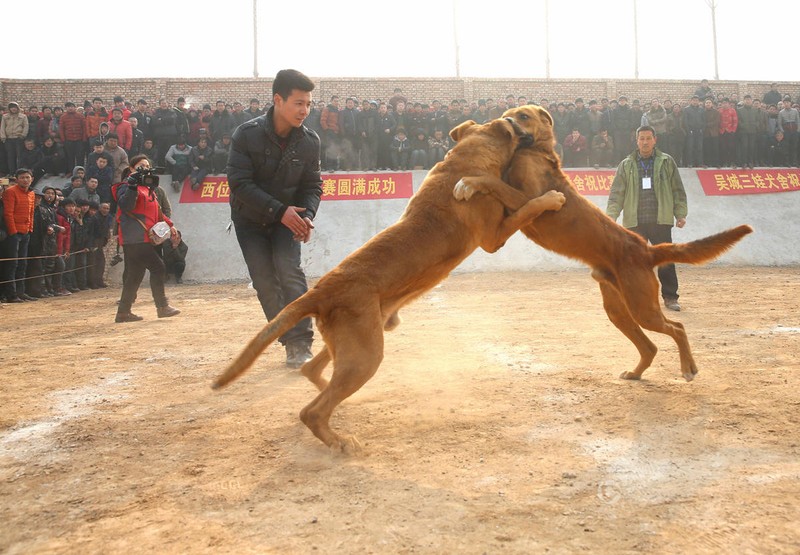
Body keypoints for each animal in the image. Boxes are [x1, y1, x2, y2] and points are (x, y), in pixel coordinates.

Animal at [211, 112, 564, 452]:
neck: (465, 158)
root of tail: (322, 289)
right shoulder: (493, 238)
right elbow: (529, 206)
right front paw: (552, 198)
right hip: (365, 356)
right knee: (311, 411)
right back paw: (339, 441)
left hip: (358, 340)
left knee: (313, 374)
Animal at [454, 104, 752, 382]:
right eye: (508, 113)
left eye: (523, 116)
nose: (506, 121)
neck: (534, 151)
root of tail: (646, 249)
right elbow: (497, 181)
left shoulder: (528, 200)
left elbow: (493, 181)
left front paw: (469, 181)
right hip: (618, 310)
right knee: (650, 346)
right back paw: (635, 373)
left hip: (642, 308)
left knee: (676, 328)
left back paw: (688, 369)